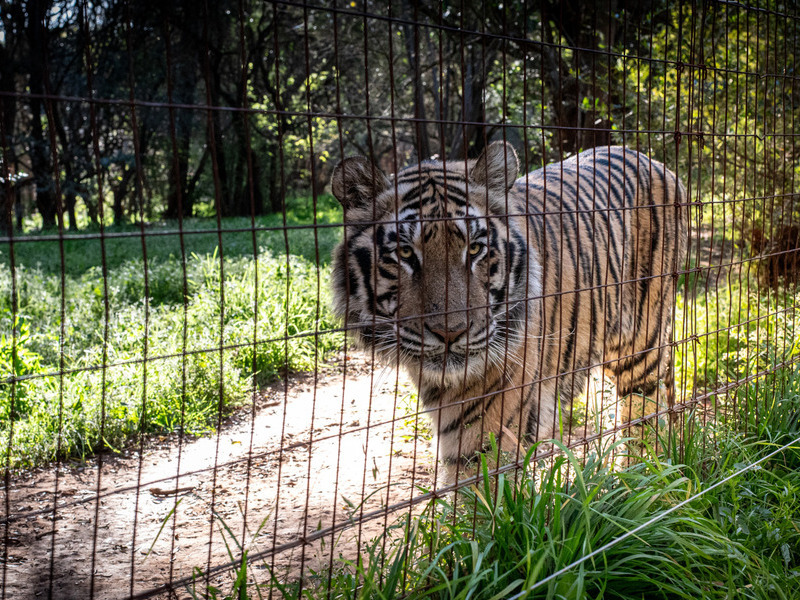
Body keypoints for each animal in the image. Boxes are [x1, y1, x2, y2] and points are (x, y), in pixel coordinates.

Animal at [330, 142, 687, 482]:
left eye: (475, 249)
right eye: (404, 253)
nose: (450, 332)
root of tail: (656, 162)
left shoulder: (486, 438)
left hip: (642, 347)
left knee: (645, 417)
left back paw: (645, 479)